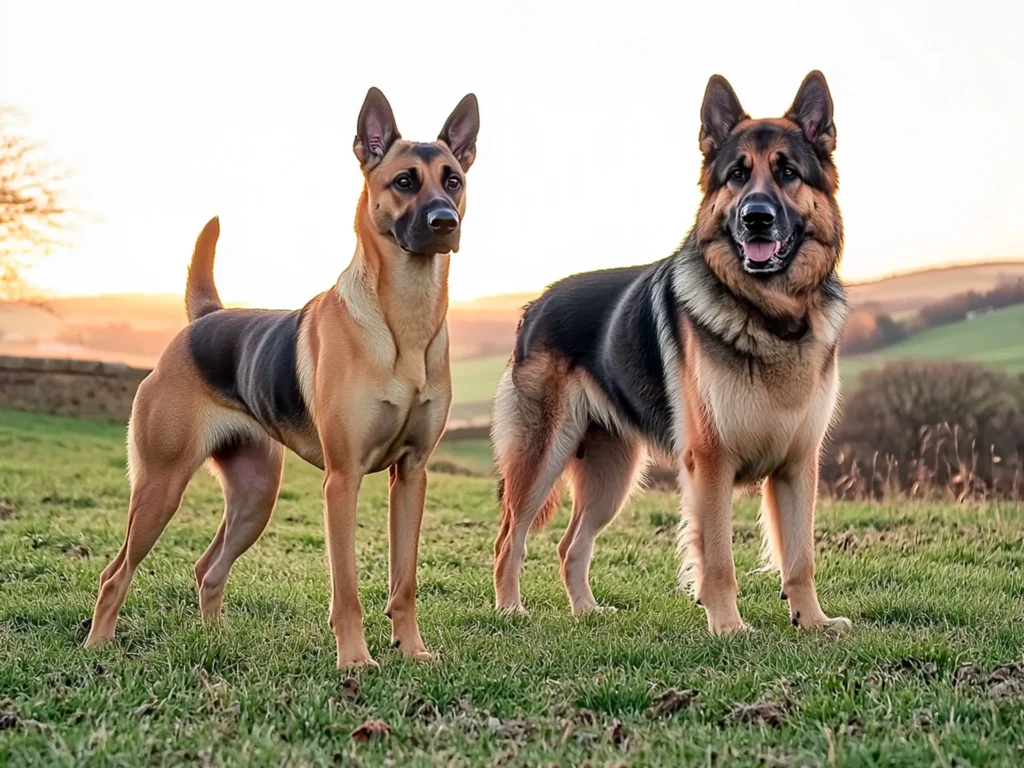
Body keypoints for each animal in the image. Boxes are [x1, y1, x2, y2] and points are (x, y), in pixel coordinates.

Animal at [84, 87, 479, 671]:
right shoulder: (342, 481)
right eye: (405, 181)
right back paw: (98, 645)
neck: (404, 319)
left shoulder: (411, 476)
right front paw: (355, 660)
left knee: (207, 569)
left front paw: (411, 650)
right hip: (161, 487)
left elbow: (403, 583)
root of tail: (204, 321)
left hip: (255, 496)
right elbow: (347, 589)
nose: (444, 221)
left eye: (452, 180)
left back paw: (215, 640)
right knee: (115, 574)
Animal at [491, 72, 851, 638]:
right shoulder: (711, 464)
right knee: (509, 538)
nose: (757, 219)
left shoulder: (798, 466)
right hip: (541, 459)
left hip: (610, 477)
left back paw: (587, 611)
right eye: (736, 175)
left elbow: (800, 557)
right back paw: (510, 610)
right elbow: (719, 559)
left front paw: (811, 621)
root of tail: (535, 304)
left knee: (570, 545)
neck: (773, 316)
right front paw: (728, 627)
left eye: (789, 173)